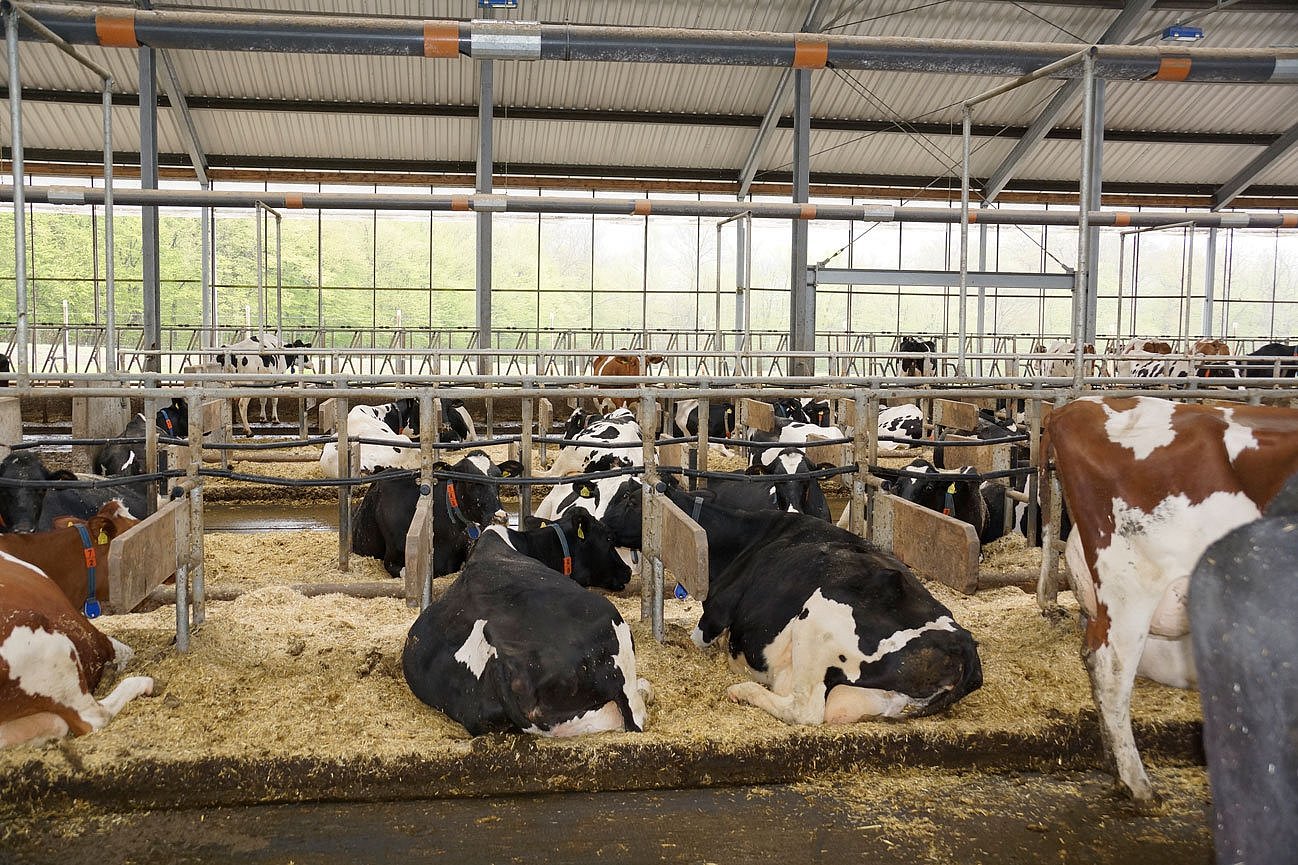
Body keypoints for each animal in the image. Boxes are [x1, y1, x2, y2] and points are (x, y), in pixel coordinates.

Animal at [604, 477, 981, 722]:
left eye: (630, 500)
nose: (602, 526)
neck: (741, 541)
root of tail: (963, 648)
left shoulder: (714, 615)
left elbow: (696, 637)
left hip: (817, 622)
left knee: (805, 711)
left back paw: (742, 690)